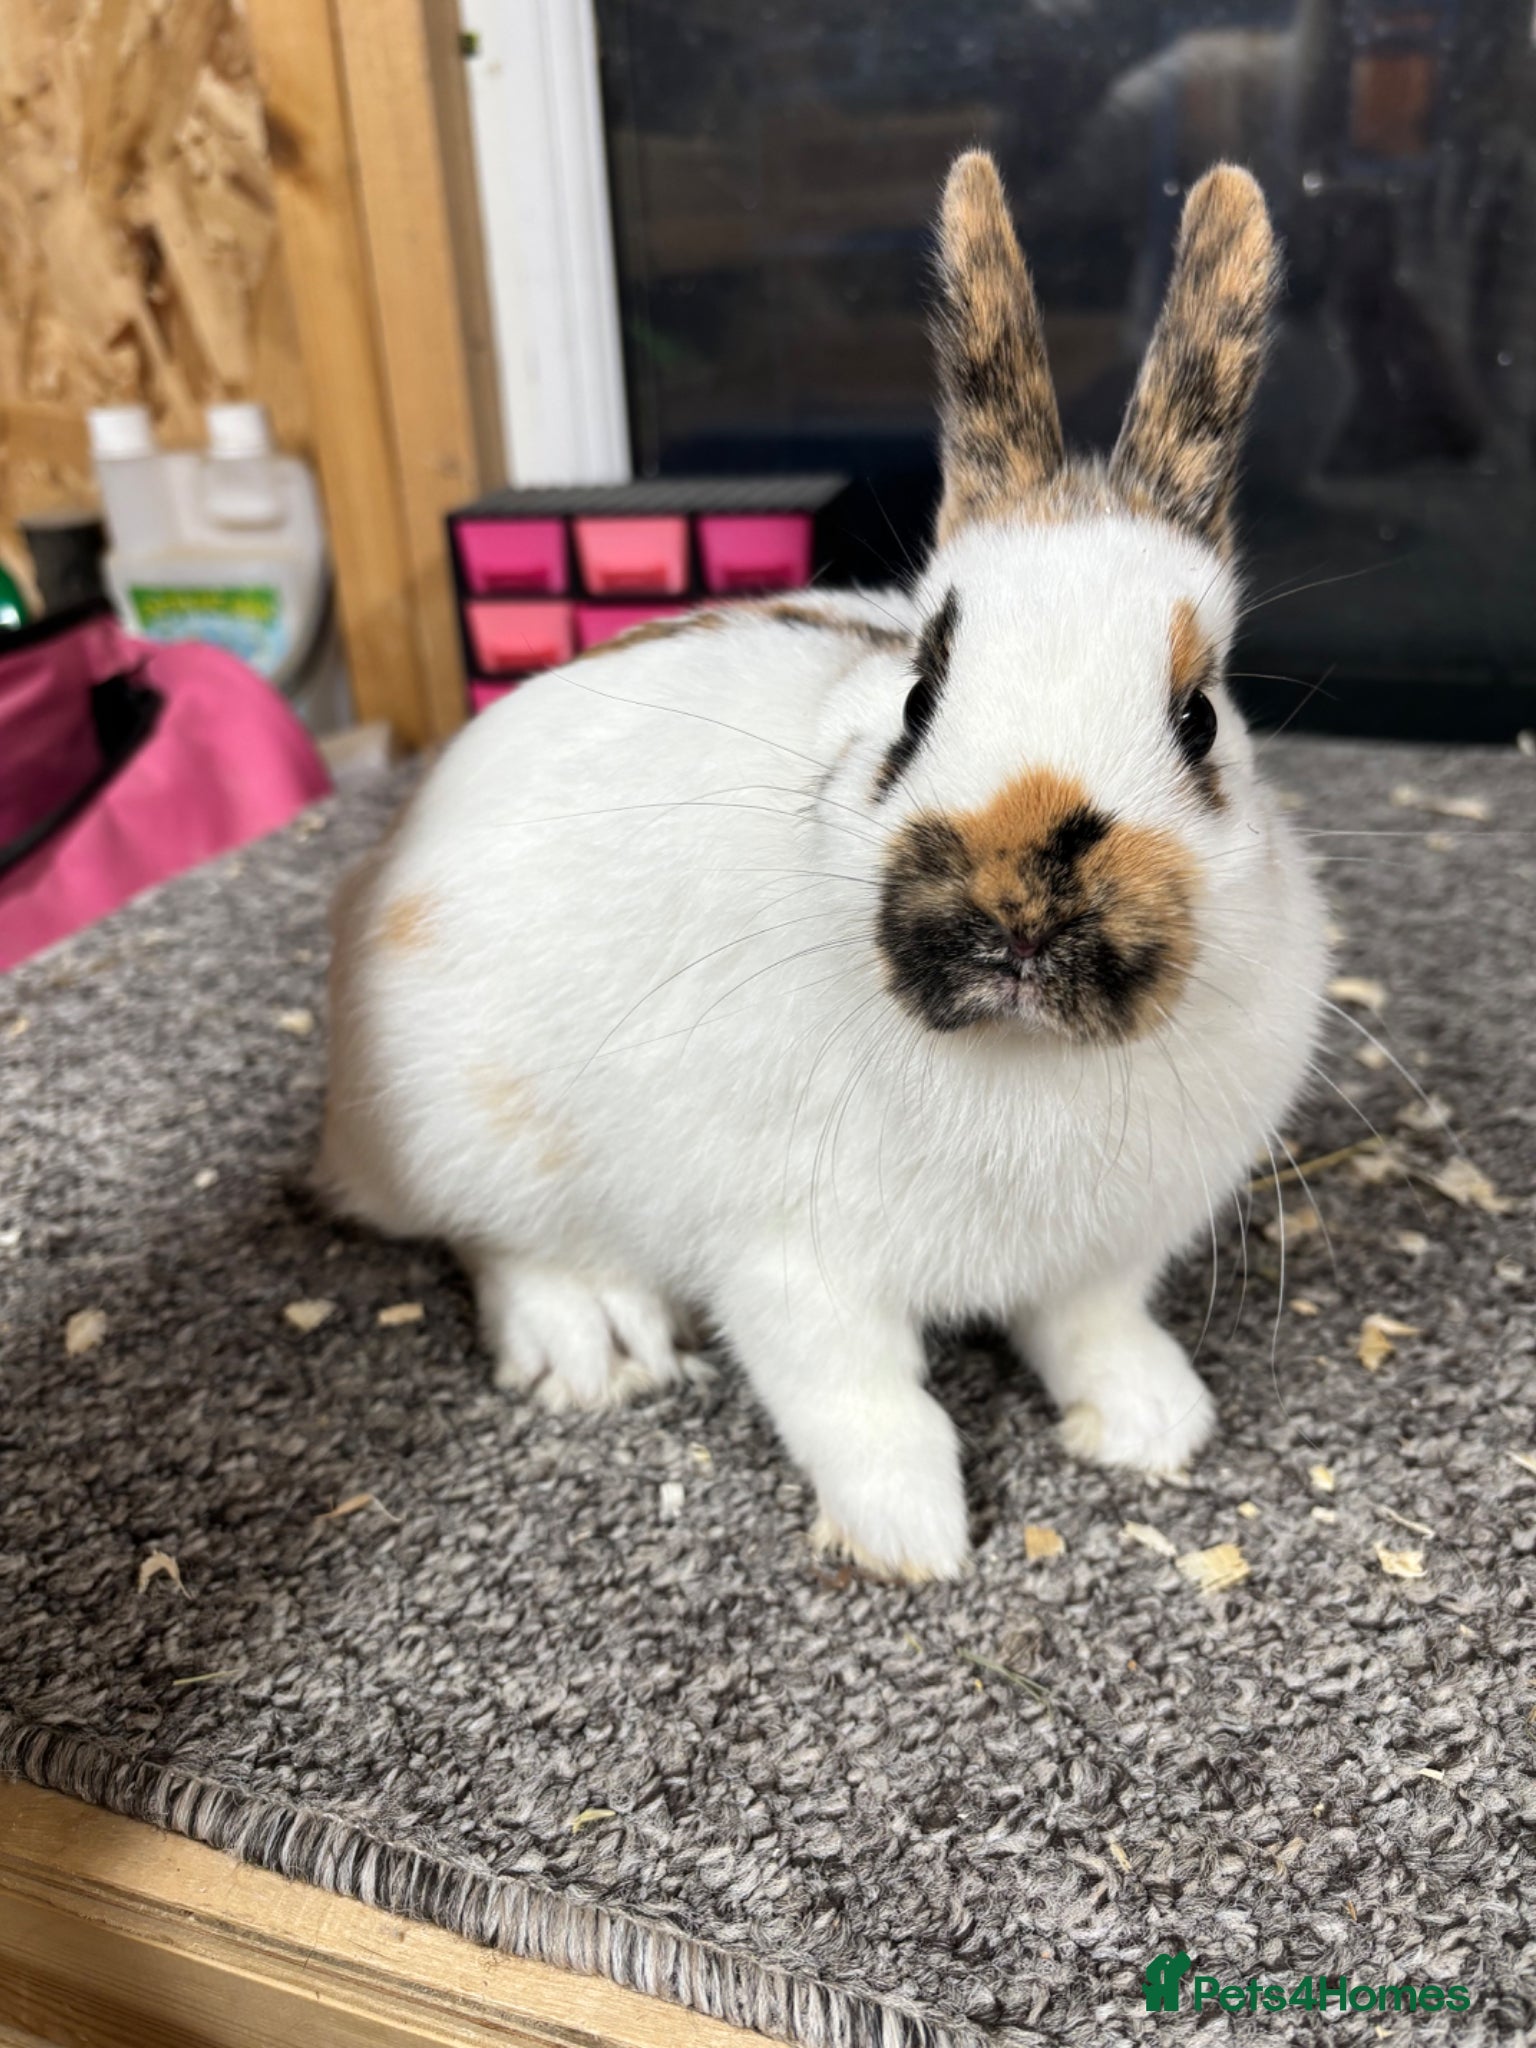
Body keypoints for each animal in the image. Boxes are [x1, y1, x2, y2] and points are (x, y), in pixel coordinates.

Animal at [321, 152, 1329, 1583]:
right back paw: (594, 1341)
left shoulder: (1101, 1257)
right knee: (491, 1236)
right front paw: (913, 1535)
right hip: (470, 1129)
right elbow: (858, 1395)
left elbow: (1090, 1324)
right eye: (919, 690)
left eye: (1199, 716)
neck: (1020, 1061)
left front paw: (1152, 1422)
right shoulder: (790, 1262)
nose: (1020, 905)